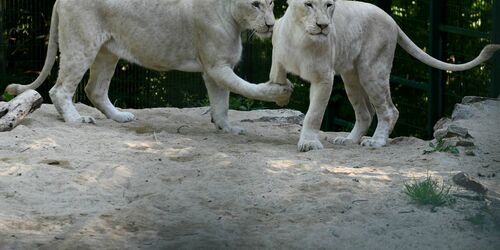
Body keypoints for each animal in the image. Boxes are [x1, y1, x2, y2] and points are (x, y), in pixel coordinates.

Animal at [5, 0, 292, 135]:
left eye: (271, 3)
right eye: (255, 3)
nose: (271, 25)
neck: (236, 20)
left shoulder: (215, 70)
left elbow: (221, 105)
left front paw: (227, 128)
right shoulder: (216, 66)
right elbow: (247, 89)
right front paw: (279, 91)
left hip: (107, 51)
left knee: (94, 89)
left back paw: (120, 117)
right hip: (81, 44)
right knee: (60, 89)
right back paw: (76, 119)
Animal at [272, 0, 498, 151]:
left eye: (329, 4)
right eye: (308, 4)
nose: (323, 26)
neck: (301, 38)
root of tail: (391, 18)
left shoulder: (324, 78)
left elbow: (314, 113)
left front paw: (309, 143)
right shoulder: (278, 58)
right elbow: (277, 77)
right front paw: (280, 95)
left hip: (372, 70)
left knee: (389, 111)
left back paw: (376, 141)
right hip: (351, 76)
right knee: (365, 113)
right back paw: (349, 140)